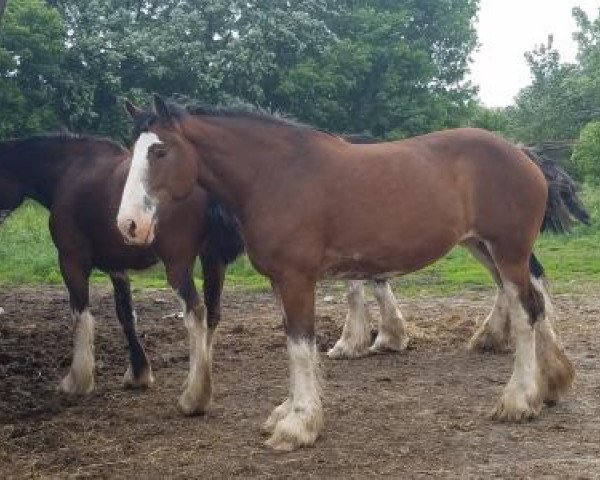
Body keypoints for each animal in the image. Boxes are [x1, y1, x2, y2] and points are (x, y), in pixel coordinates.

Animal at [0, 130, 244, 412]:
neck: (69, 170)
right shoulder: (116, 267)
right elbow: (126, 314)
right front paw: (138, 373)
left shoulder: (71, 261)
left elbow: (80, 316)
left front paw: (77, 380)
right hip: (212, 259)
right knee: (213, 314)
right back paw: (198, 382)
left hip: (178, 265)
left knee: (196, 313)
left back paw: (194, 398)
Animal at [118, 96, 580, 450]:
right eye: (132, 150)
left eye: (159, 151)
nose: (129, 224)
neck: (276, 176)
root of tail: (522, 154)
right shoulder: (280, 281)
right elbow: (294, 342)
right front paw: (287, 412)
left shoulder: (297, 279)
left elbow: (300, 346)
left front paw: (299, 425)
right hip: (484, 248)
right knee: (533, 303)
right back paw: (550, 384)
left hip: (508, 251)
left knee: (525, 312)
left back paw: (518, 400)